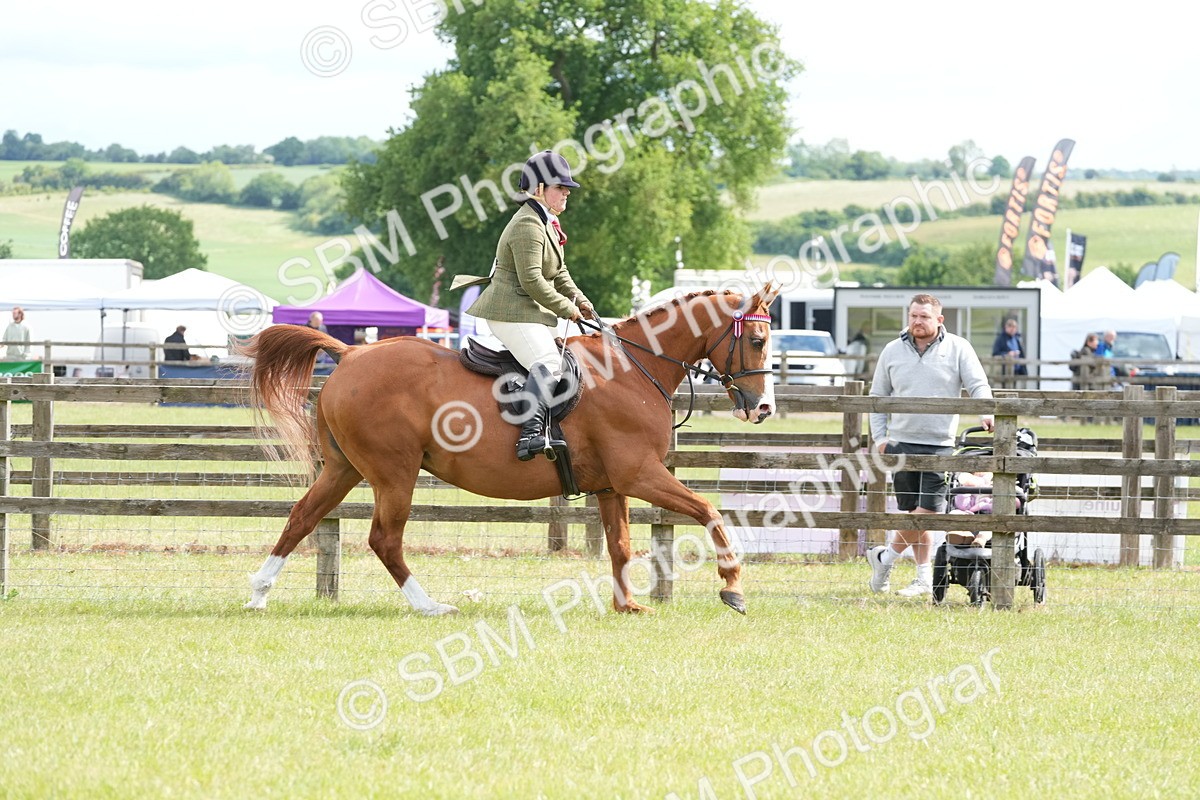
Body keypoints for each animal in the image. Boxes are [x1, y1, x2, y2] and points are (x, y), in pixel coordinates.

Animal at [241, 285, 779, 616]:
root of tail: (352, 352)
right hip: (395, 474)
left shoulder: (613, 485)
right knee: (384, 540)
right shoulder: (640, 474)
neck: (634, 367)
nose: (764, 409)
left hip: (343, 470)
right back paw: (429, 606)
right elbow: (709, 511)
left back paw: (258, 595)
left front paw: (627, 606)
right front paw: (732, 588)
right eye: (757, 340)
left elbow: (621, 545)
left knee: (302, 518)